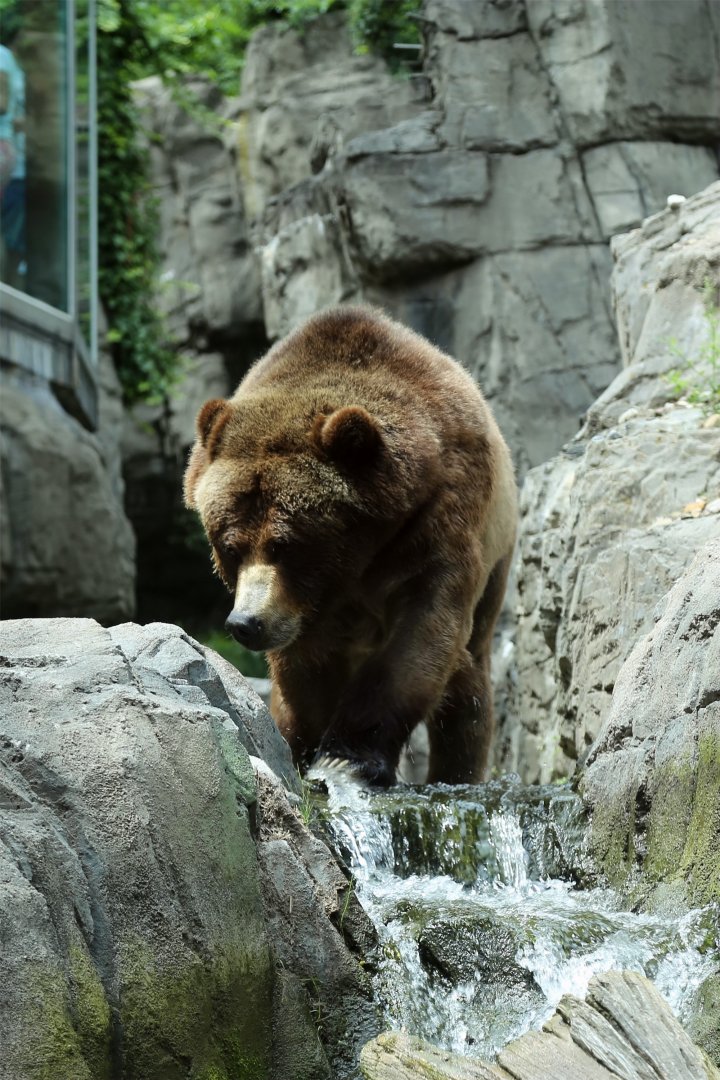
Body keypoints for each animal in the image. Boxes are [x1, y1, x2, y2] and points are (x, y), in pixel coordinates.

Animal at [184, 306, 517, 786]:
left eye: (285, 545)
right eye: (230, 547)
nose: (246, 623)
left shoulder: (438, 518)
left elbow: (424, 629)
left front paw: (347, 756)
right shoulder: (307, 609)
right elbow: (306, 666)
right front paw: (311, 748)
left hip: (497, 560)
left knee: (468, 683)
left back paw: (457, 768)